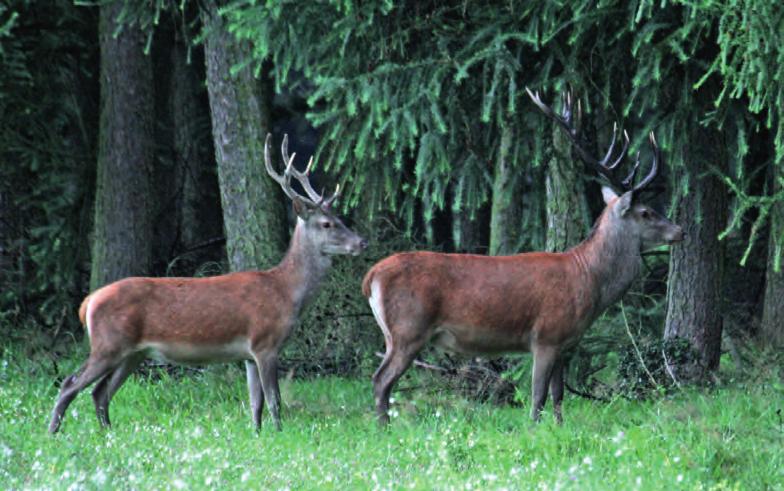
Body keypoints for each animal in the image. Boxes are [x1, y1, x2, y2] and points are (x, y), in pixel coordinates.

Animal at [49, 135, 368, 434]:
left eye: (340, 218)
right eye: (327, 224)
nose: (361, 242)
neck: (286, 293)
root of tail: (88, 303)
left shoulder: (249, 354)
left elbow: (255, 403)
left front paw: (258, 435)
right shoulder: (266, 342)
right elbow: (274, 400)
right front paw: (279, 434)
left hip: (133, 353)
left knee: (100, 392)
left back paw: (107, 432)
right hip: (108, 344)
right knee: (70, 383)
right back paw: (54, 432)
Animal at [364, 90, 684, 424]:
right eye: (646, 212)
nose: (680, 230)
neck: (589, 281)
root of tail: (371, 276)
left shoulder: (565, 343)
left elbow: (558, 395)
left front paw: (558, 427)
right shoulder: (546, 334)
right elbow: (538, 396)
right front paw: (535, 429)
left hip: (393, 333)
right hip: (408, 328)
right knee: (381, 379)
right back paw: (384, 427)